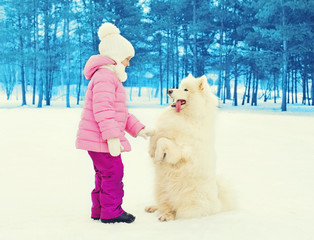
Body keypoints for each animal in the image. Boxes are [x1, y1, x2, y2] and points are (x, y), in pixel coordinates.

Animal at [146, 73, 234, 221]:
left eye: (186, 90)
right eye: (179, 86)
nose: (169, 90)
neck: (186, 116)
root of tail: (218, 204)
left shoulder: (181, 150)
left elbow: (163, 141)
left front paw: (157, 157)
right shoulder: (163, 130)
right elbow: (156, 137)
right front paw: (152, 150)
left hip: (186, 200)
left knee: (177, 212)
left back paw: (167, 216)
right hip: (161, 190)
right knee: (165, 205)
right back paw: (153, 207)